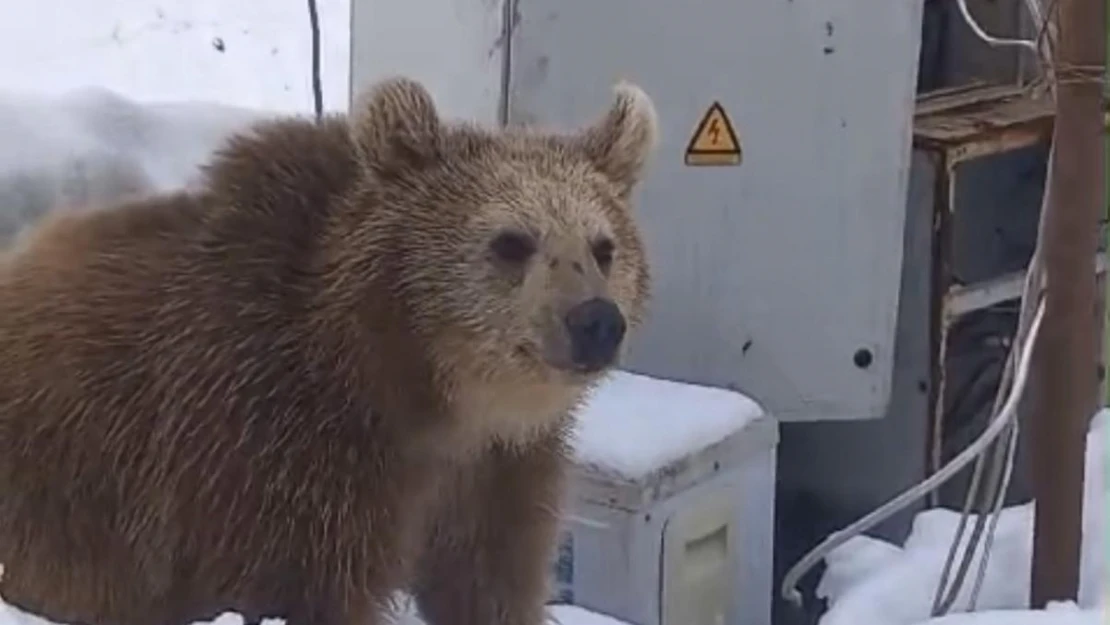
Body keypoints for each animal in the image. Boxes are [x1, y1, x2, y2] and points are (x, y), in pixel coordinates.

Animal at [0, 74, 652, 625]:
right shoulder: (276, 457)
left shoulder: (496, 474)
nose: (595, 320)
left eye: (604, 247)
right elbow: (300, 589)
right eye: (512, 242)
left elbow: (489, 581)